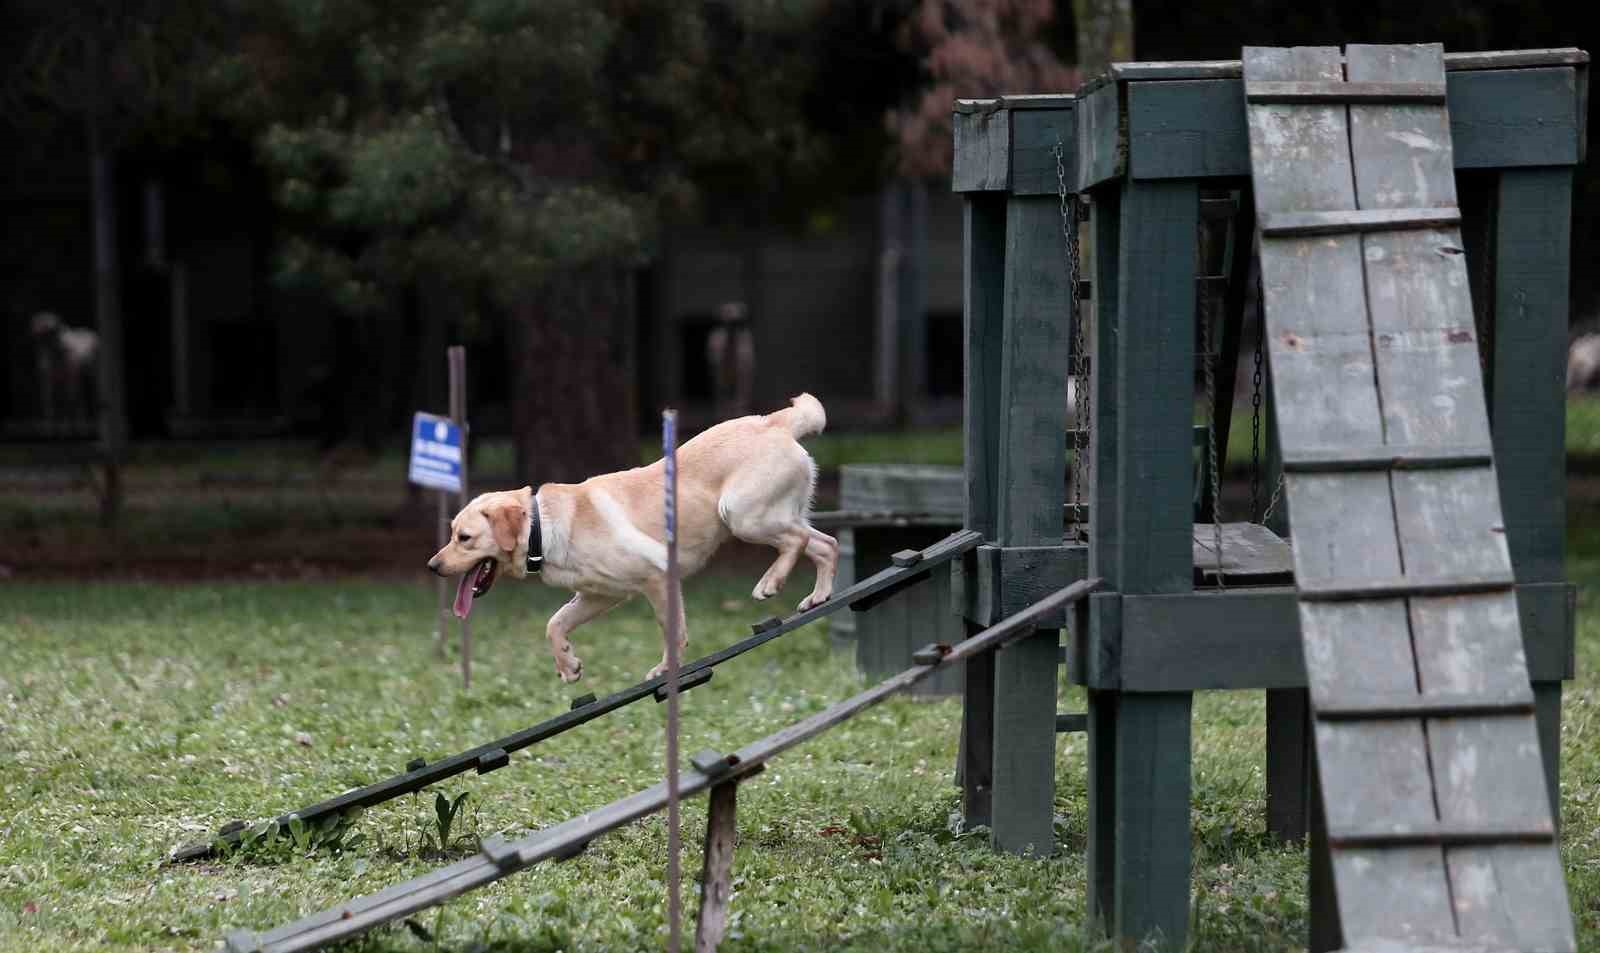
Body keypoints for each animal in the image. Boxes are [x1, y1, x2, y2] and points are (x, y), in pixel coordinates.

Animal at [432, 394, 844, 684]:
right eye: (451, 534)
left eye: (464, 538)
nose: (433, 565)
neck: (542, 527)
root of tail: (775, 421)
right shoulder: (598, 595)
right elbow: (555, 622)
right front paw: (568, 664)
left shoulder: (658, 577)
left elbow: (671, 632)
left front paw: (664, 670)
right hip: (771, 516)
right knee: (826, 545)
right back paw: (817, 597)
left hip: (743, 516)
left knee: (797, 542)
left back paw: (770, 583)